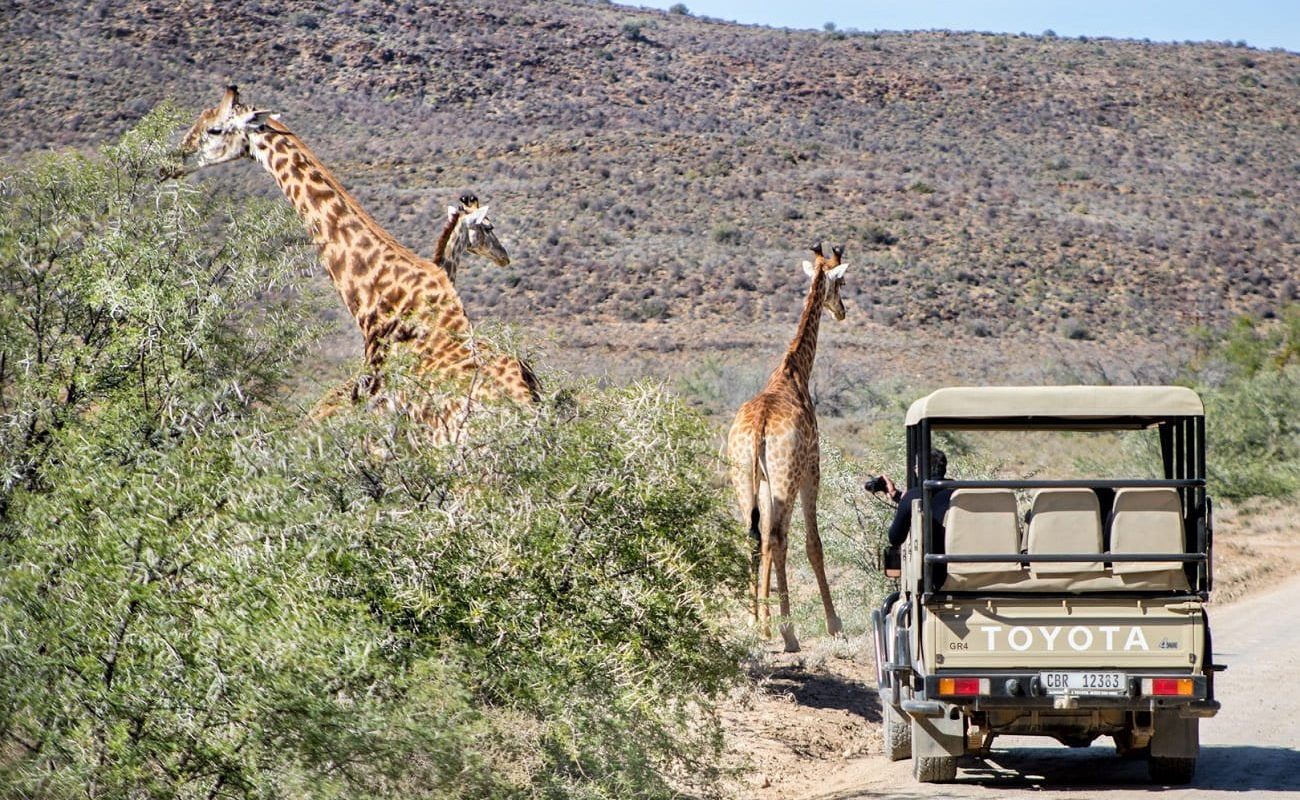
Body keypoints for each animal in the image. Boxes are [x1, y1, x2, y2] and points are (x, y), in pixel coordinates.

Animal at [725, 243, 851, 653]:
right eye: (841, 282)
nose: (842, 311)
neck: (794, 372)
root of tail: (758, 429)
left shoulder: (766, 481)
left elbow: (766, 538)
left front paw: (763, 621)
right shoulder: (812, 470)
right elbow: (812, 543)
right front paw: (833, 624)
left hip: (745, 477)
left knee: (754, 534)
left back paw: (756, 623)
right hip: (786, 478)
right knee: (779, 536)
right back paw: (787, 632)